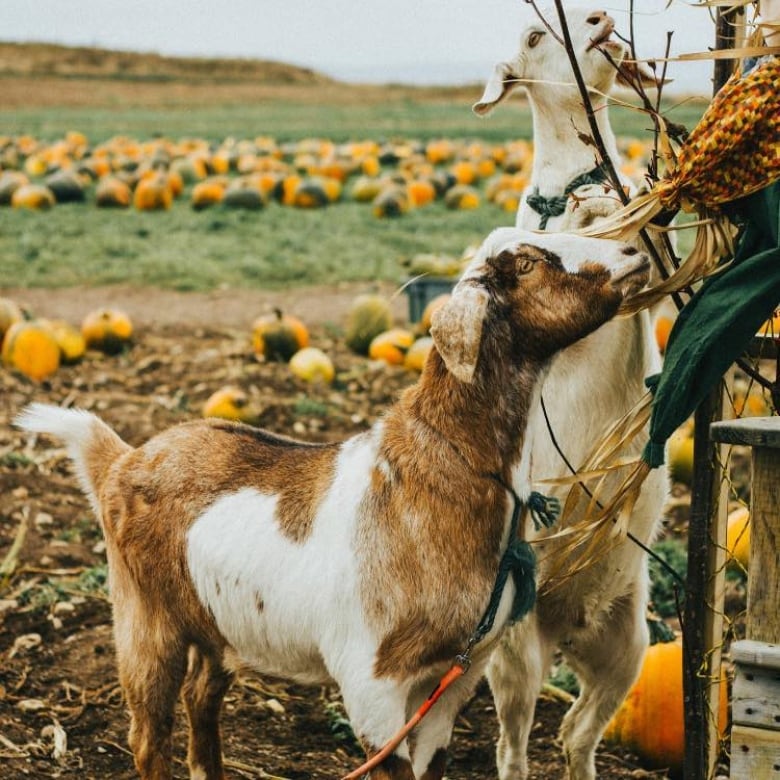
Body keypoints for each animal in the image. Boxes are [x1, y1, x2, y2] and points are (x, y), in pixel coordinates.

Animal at [18, 227, 648, 780]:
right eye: (527, 263)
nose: (633, 251)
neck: (435, 471)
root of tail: (122, 460)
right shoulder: (373, 682)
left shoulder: (458, 677)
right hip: (144, 617)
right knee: (148, 734)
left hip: (219, 623)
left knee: (201, 697)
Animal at [476, 7, 672, 780]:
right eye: (534, 38)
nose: (597, 17)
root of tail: (567, 622)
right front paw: (591, 213)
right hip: (514, 652)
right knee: (514, 742)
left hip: (629, 646)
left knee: (578, 733)